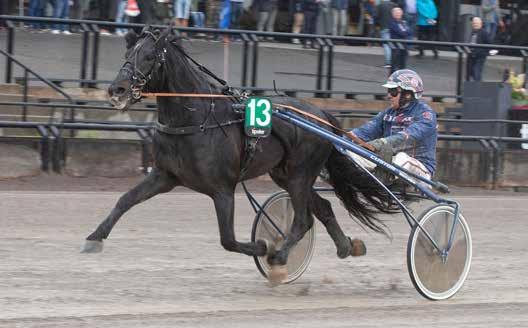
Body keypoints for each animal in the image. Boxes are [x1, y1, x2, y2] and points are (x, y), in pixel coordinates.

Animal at [81, 26, 396, 284]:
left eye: (148, 56)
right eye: (127, 54)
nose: (117, 90)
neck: (196, 120)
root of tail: (321, 115)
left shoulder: (222, 189)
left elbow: (228, 239)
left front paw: (263, 246)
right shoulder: (165, 176)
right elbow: (125, 200)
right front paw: (94, 238)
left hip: (300, 174)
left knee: (303, 220)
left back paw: (280, 256)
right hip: (287, 175)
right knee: (323, 208)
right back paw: (346, 246)